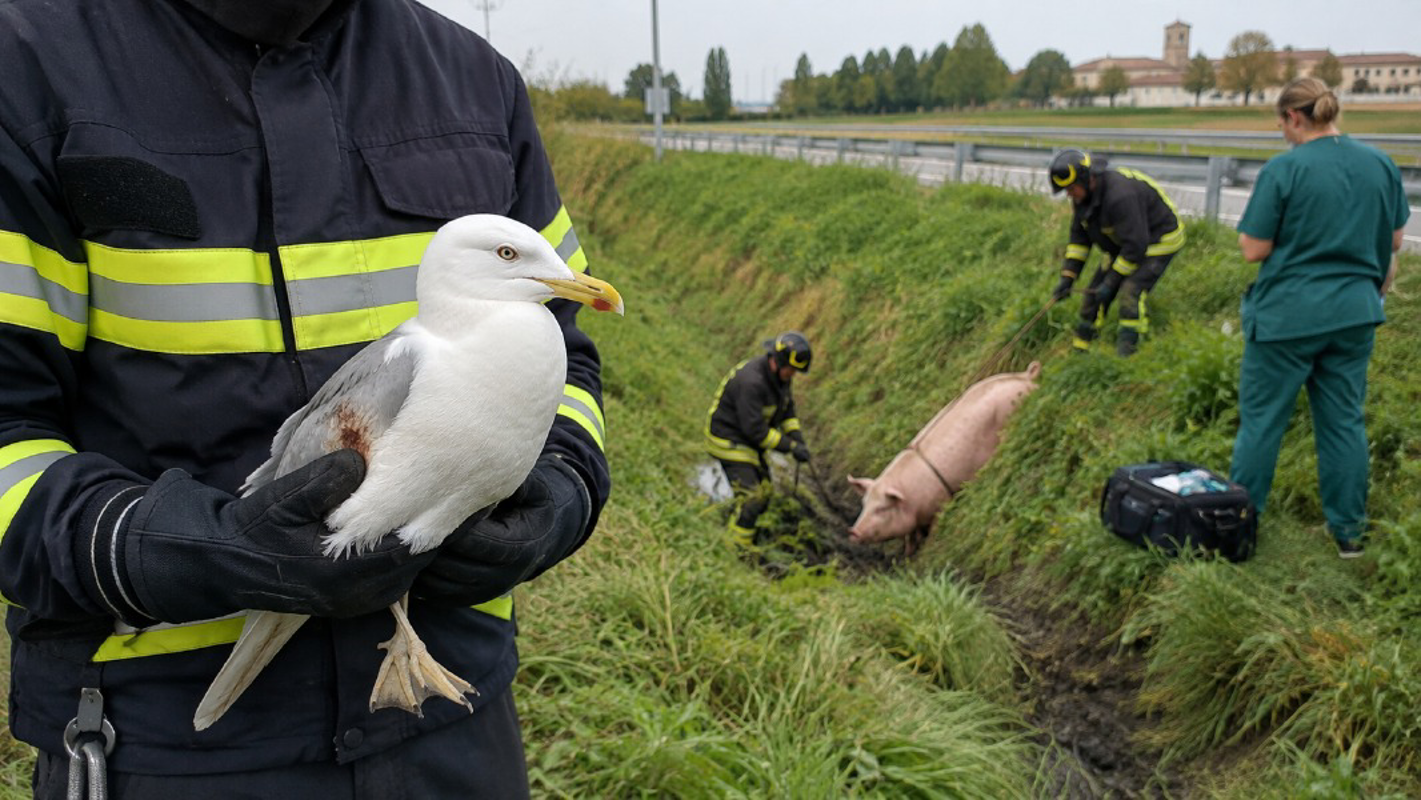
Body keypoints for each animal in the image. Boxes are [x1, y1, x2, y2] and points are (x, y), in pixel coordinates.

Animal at [847, 361, 1041, 555]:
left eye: (882, 508)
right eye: (864, 504)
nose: (853, 532)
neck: (911, 501)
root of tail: (1026, 376)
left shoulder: (940, 503)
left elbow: (932, 530)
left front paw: (926, 551)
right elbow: (910, 536)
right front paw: (908, 554)